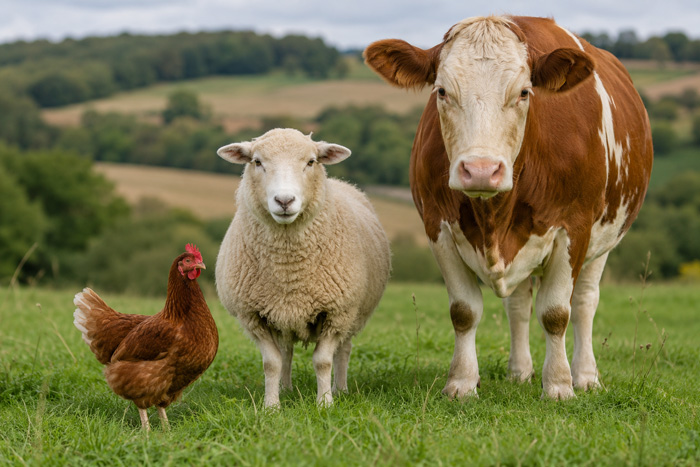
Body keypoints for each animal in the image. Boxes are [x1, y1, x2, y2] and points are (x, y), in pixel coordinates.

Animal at [215, 128, 391, 408]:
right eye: (257, 162)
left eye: (311, 162)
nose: (284, 200)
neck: (289, 269)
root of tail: (342, 182)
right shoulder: (252, 315)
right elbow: (272, 362)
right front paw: (271, 406)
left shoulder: (336, 311)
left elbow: (323, 361)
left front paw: (325, 403)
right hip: (282, 314)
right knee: (286, 351)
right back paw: (286, 389)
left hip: (352, 314)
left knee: (344, 350)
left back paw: (341, 389)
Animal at [364, 15, 653, 400]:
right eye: (441, 91)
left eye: (524, 92)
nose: (481, 170)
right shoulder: (437, 226)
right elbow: (464, 311)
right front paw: (462, 383)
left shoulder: (574, 227)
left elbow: (556, 312)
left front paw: (559, 386)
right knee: (518, 304)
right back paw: (519, 372)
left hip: (603, 241)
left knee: (584, 303)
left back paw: (586, 376)